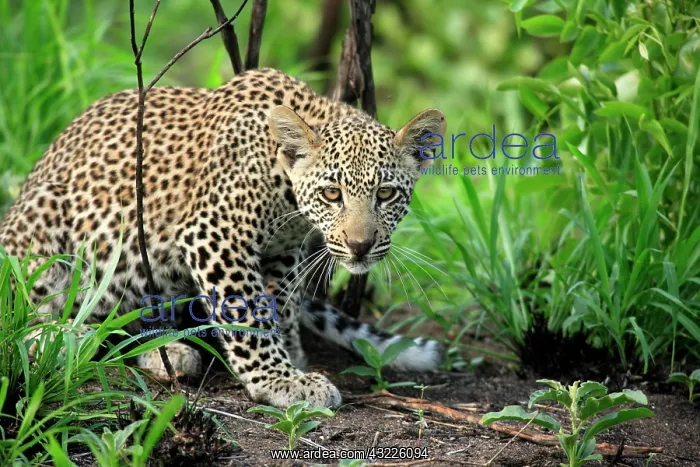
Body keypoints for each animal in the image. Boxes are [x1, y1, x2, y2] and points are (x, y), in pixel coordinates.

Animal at [0, 68, 447, 408]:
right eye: (331, 194)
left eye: (385, 194)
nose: (360, 246)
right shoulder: (215, 233)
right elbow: (247, 313)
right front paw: (280, 379)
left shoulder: (284, 251)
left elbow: (281, 303)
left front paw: (292, 356)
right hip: (45, 219)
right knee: (25, 310)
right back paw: (58, 336)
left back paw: (168, 350)